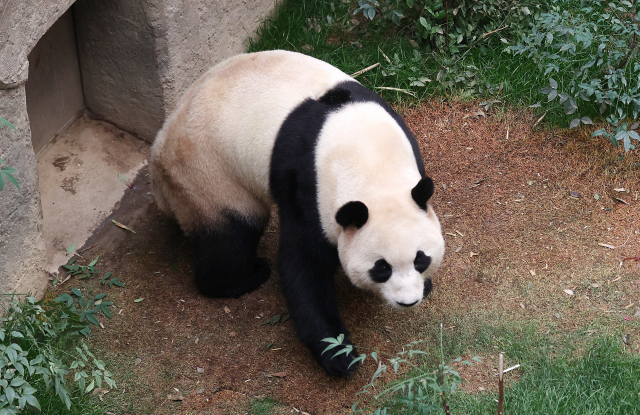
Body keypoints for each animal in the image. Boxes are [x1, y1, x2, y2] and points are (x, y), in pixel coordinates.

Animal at [151, 50, 444, 378]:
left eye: (420, 259)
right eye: (381, 268)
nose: (408, 302)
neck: (370, 160)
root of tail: (158, 150)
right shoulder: (307, 183)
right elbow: (303, 264)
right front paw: (339, 355)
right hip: (209, 172)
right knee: (230, 233)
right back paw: (244, 277)